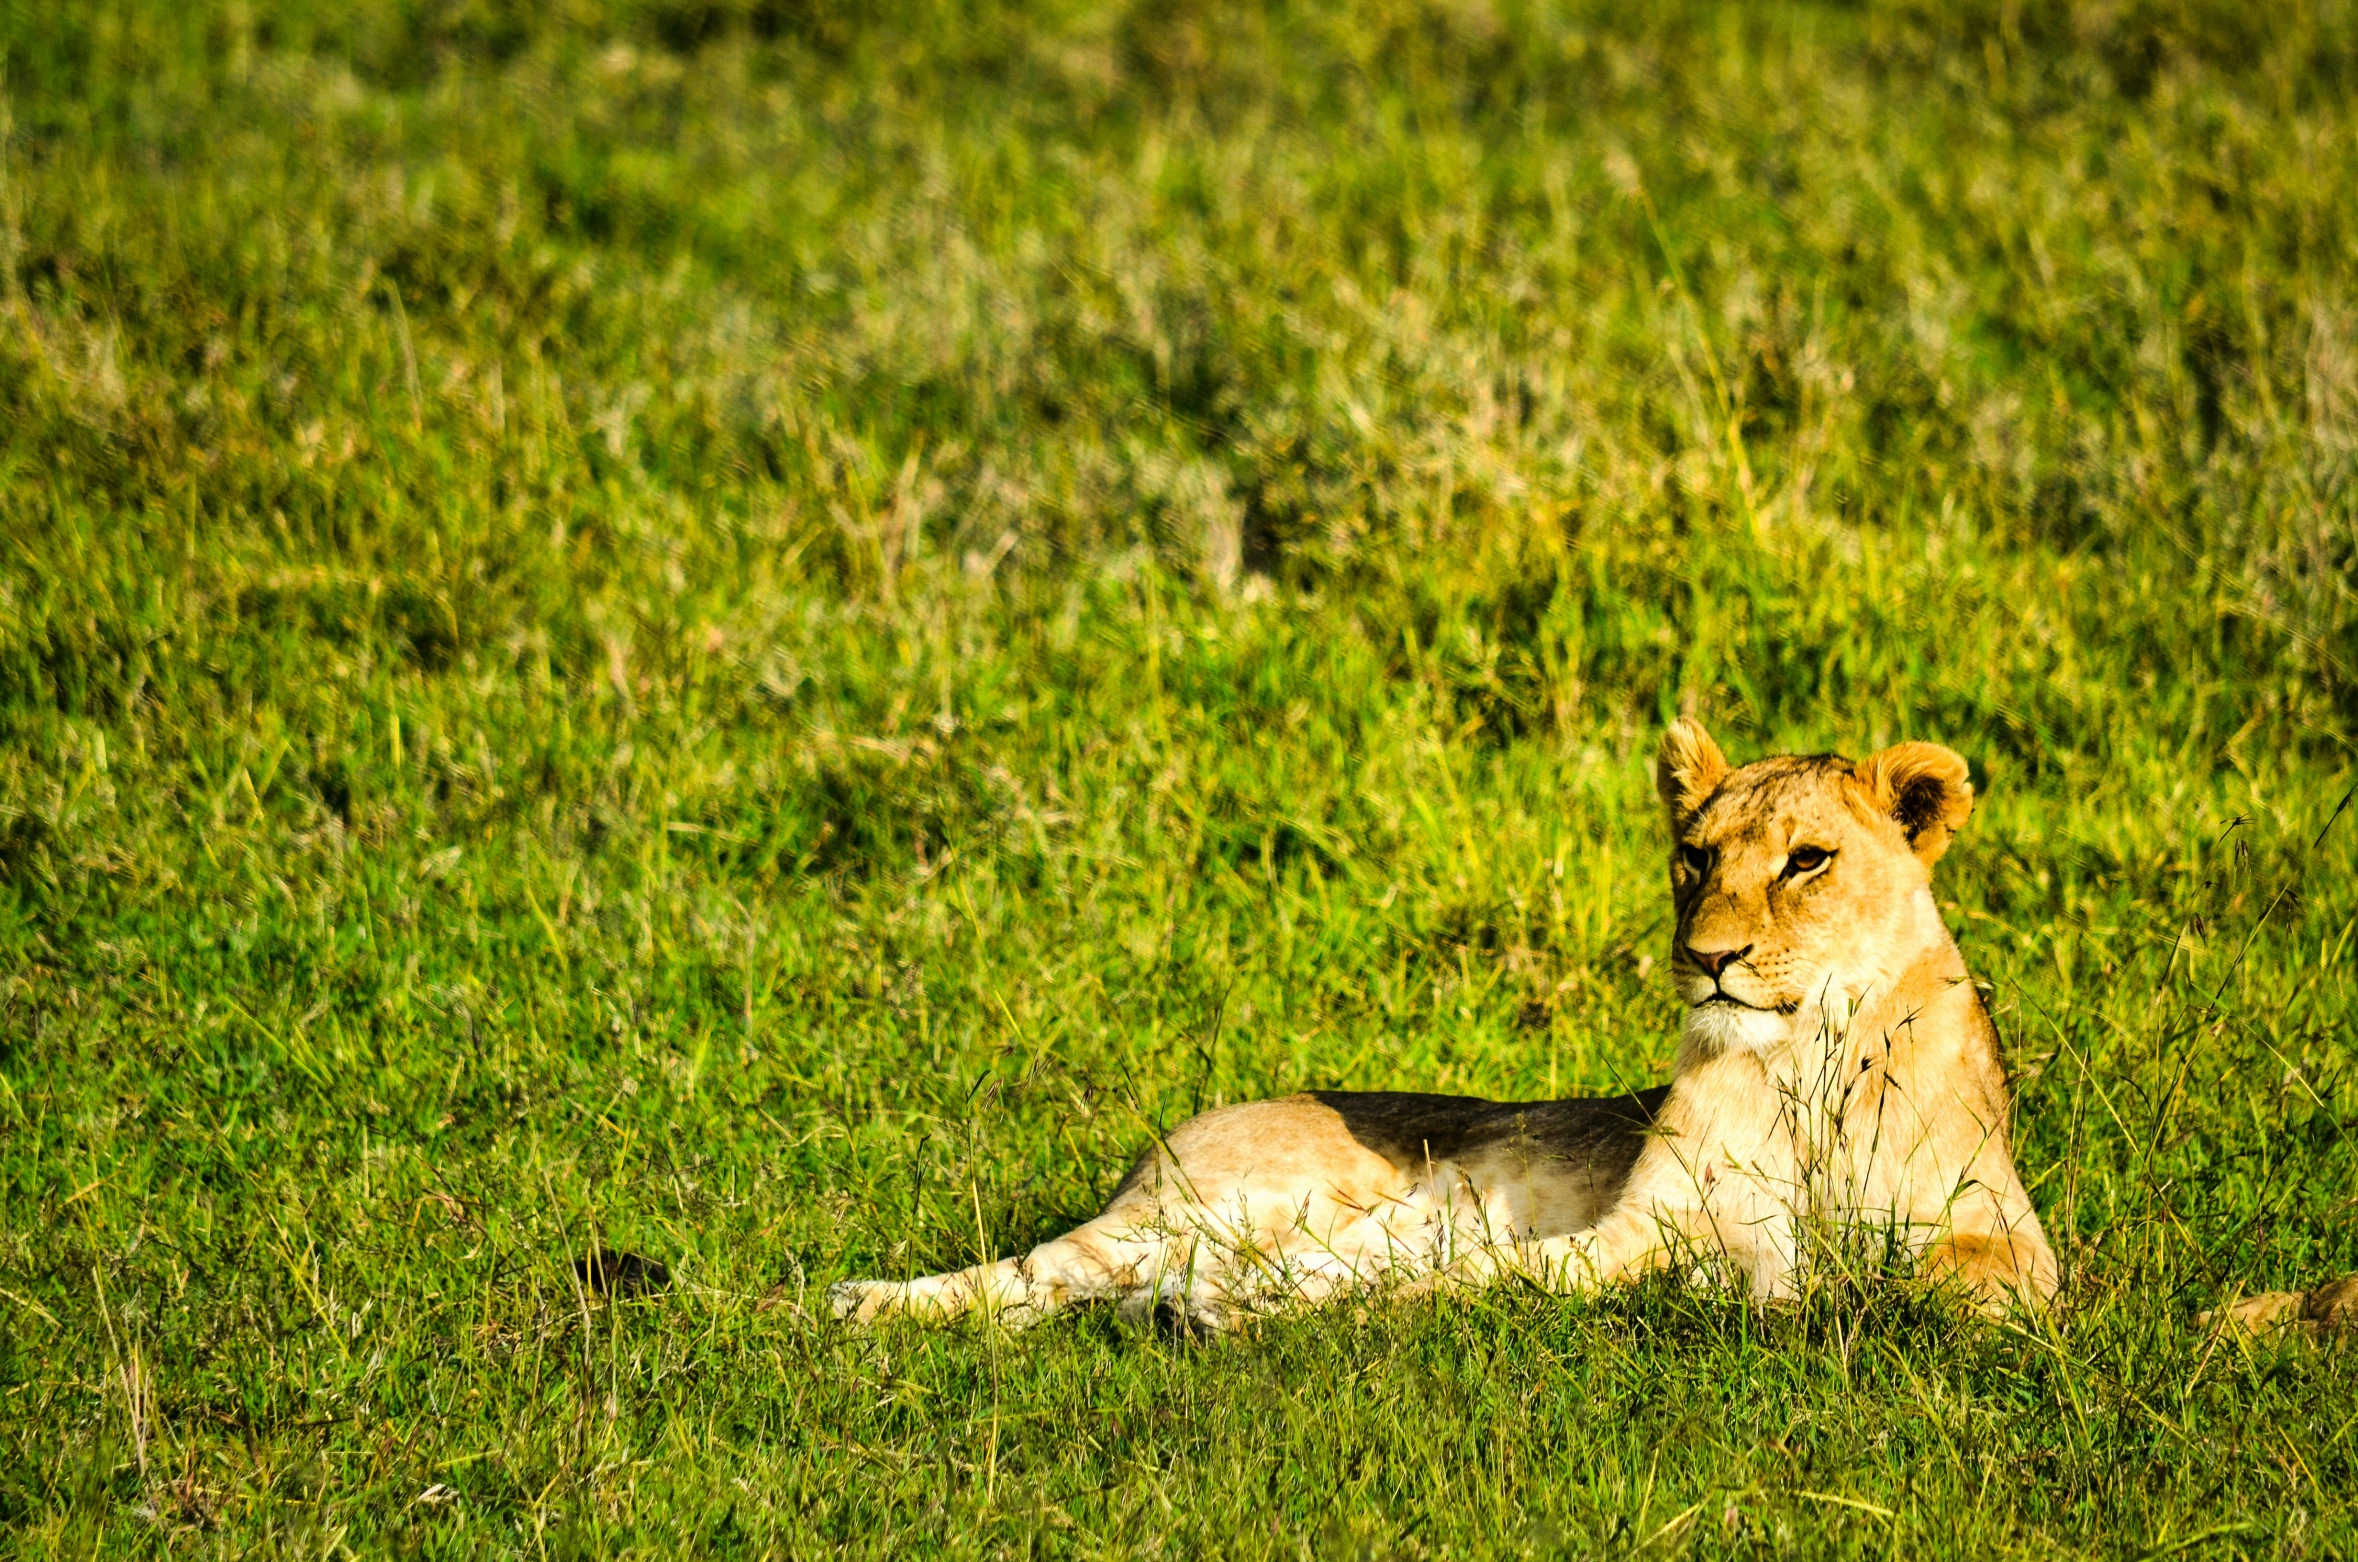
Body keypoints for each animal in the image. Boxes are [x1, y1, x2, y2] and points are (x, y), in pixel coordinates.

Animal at [839, 722, 2056, 1330]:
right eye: (1695, 856)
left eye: (1808, 860)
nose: (1710, 958)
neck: (1801, 1059)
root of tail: (1169, 1138)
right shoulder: (1637, 1224)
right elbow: (1528, 1275)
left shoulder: (2013, 1233)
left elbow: (1957, 1274)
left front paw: (1854, 1288)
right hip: (1198, 1211)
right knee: (1035, 1266)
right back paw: (856, 1305)